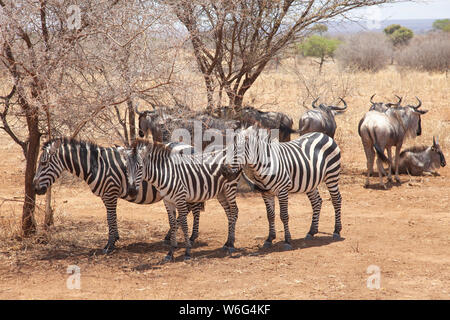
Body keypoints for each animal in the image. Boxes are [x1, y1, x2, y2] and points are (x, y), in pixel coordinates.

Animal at [30, 138, 201, 252]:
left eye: (43, 163)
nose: (35, 188)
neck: (96, 165)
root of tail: (191, 146)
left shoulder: (110, 193)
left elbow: (110, 218)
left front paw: (110, 244)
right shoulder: (106, 195)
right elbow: (110, 217)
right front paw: (115, 238)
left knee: (195, 208)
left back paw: (192, 236)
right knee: (191, 208)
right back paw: (171, 234)